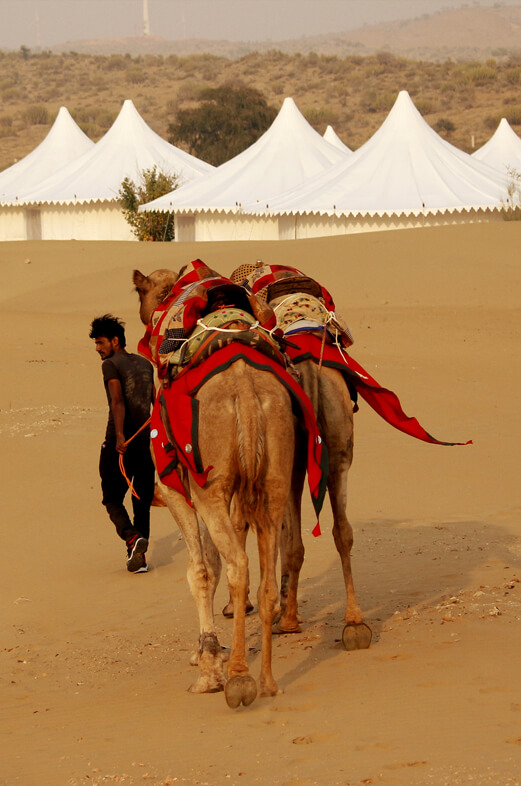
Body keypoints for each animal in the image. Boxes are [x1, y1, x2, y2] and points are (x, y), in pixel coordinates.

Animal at [133, 267, 296, 708]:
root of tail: (247, 394)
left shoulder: (177, 488)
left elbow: (202, 567)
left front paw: (208, 665)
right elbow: (214, 558)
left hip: (212, 484)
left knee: (238, 564)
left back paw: (238, 681)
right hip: (274, 477)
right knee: (264, 578)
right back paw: (268, 681)